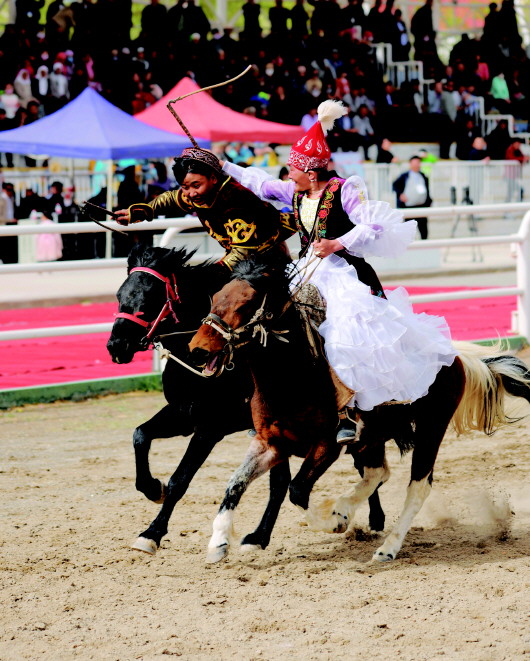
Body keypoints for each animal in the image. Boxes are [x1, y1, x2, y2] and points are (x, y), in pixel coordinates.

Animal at [189, 258, 528, 564]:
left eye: (246, 303)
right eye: (216, 297)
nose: (198, 349)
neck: (296, 376)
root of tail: (456, 357)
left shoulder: (326, 445)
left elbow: (297, 490)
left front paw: (333, 522)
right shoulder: (270, 443)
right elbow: (235, 483)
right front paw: (218, 543)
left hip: (431, 428)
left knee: (417, 487)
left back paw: (386, 548)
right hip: (373, 438)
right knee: (379, 472)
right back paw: (346, 508)